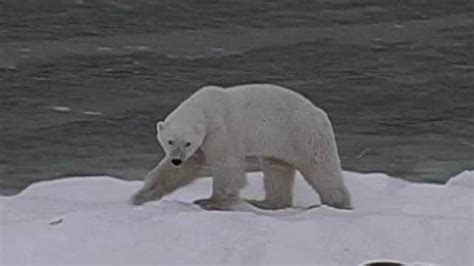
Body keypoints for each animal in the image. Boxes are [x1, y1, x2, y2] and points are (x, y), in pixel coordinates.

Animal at [130, 83, 352, 210]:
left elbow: (227, 167)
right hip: (281, 145)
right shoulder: (202, 144)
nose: (176, 159)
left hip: (304, 135)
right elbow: (183, 169)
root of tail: (320, 114)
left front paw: (210, 202)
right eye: (170, 141)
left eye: (187, 142)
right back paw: (266, 203)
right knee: (277, 170)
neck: (206, 108)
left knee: (322, 170)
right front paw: (140, 195)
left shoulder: (221, 131)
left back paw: (338, 203)